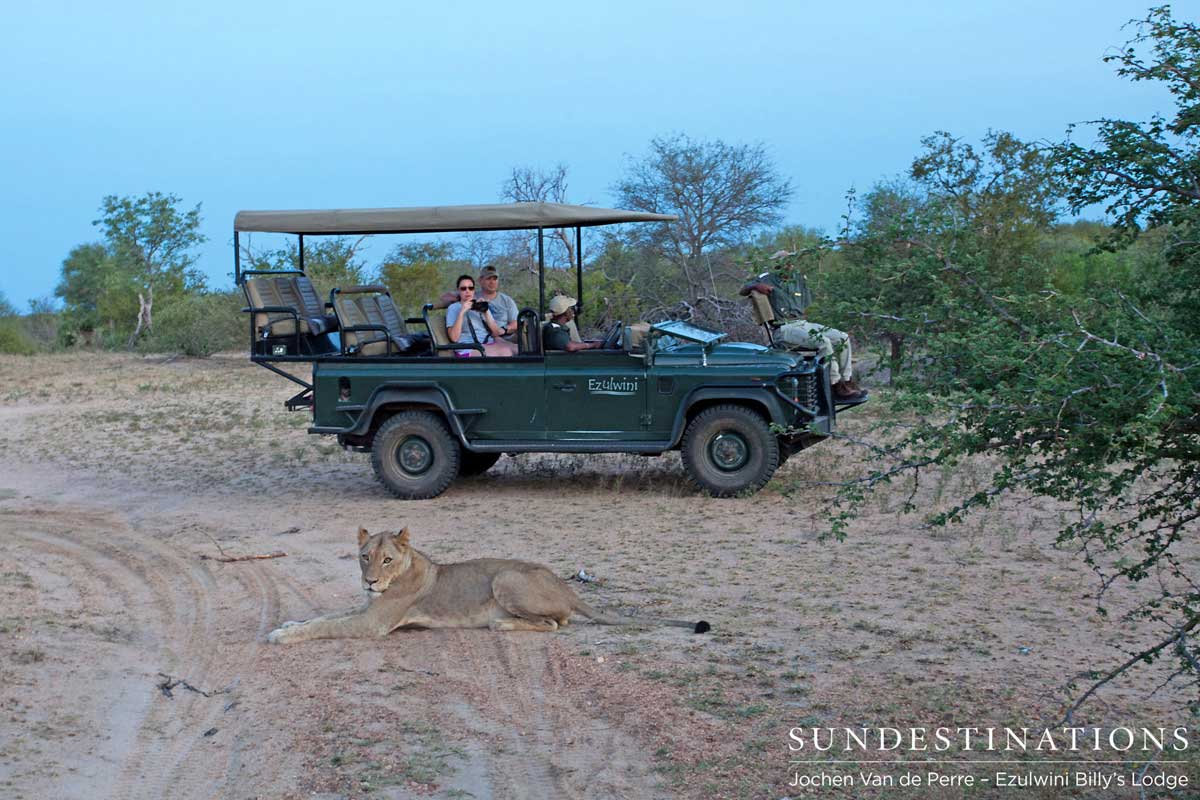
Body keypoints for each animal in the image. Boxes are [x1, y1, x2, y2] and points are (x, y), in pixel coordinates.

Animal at [267, 527, 709, 643]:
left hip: (506, 578)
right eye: (364, 556)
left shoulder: (373, 623)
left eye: (387, 559)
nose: (369, 581)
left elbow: (326, 624)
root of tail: (568, 587)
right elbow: (326, 615)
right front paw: (288, 624)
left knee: (554, 624)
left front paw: (280, 636)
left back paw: (501, 624)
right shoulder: (368, 609)